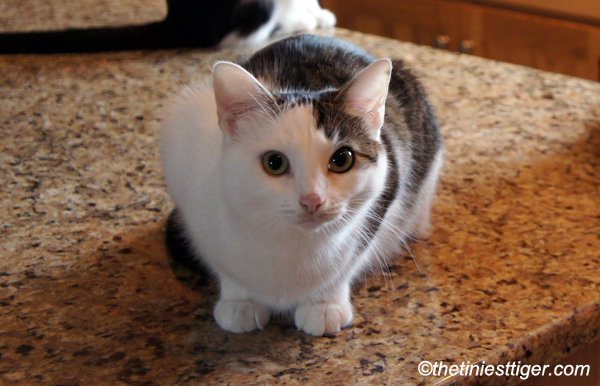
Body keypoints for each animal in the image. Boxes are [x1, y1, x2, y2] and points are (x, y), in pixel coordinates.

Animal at [159, 34, 440, 334]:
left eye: (342, 159)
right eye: (274, 162)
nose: (312, 200)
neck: (291, 244)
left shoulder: (389, 184)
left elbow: (346, 265)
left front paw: (324, 303)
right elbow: (223, 266)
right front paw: (240, 301)